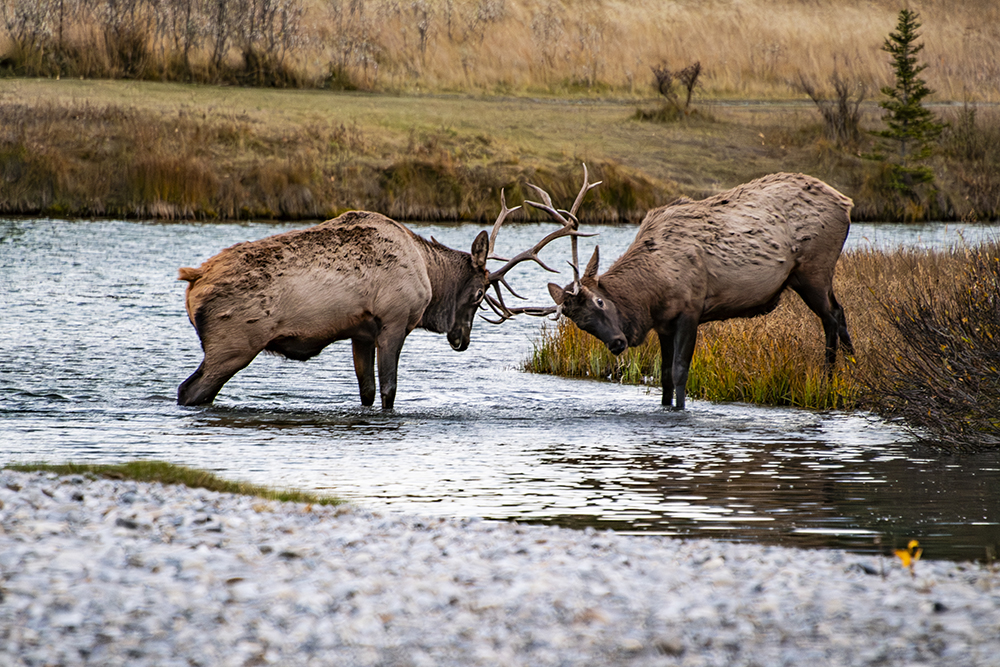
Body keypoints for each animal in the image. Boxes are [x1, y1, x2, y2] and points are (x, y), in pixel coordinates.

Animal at [176, 183, 593, 410]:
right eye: (478, 294)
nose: (461, 340)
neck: (429, 274)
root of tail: (193, 280)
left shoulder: (359, 333)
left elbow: (365, 392)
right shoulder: (393, 323)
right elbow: (389, 391)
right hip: (234, 344)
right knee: (189, 390)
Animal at [545, 172, 855, 410]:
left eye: (600, 301)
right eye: (581, 324)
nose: (618, 343)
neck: (651, 293)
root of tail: (846, 203)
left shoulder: (690, 310)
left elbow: (680, 372)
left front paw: (681, 409)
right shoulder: (664, 324)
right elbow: (664, 376)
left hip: (814, 269)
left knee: (831, 316)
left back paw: (829, 380)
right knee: (839, 314)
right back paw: (851, 371)